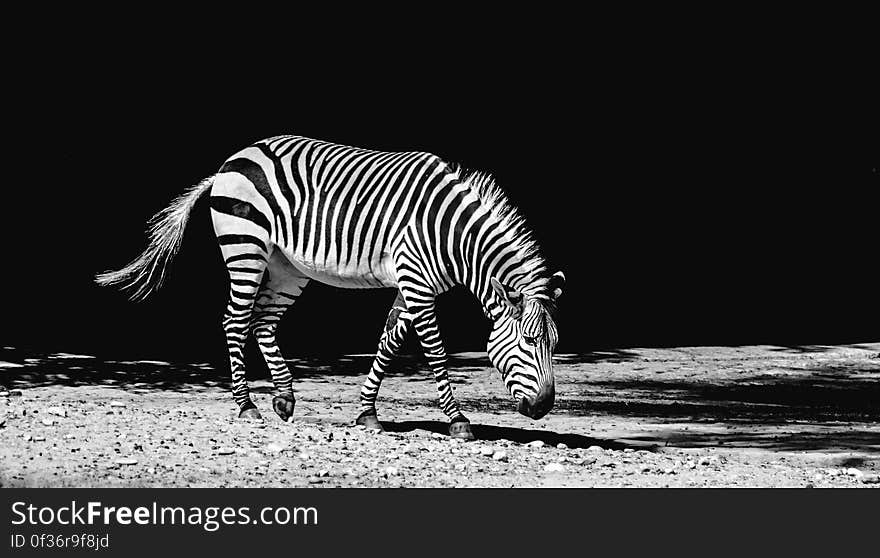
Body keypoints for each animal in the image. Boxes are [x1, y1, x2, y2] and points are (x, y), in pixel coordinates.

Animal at [94, 136, 564, 442]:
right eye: (527, 342)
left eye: (554, 344)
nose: (543, 408)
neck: (452, 234)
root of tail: (235, 157)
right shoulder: (416, 281)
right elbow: (434, 350)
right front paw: (457, 420)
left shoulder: (411, 283)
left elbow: (389, 342)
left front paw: (367, 413)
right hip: (245, 246)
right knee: (235, 320)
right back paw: (246, 405)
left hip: (286, 264)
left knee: (263, 323)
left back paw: (283, 399)